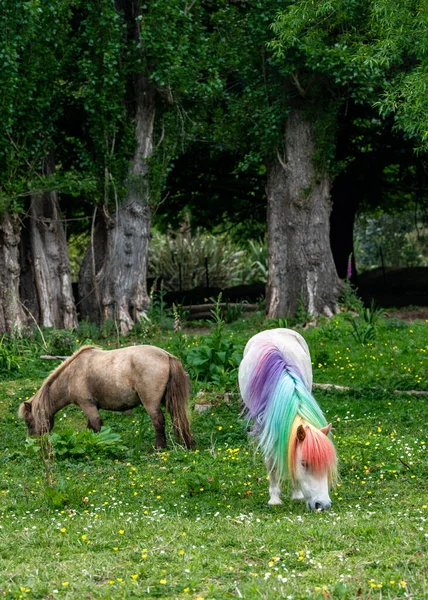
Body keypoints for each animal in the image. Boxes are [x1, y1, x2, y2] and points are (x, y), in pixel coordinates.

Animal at [18, 344, 195, 448]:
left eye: (29, 421)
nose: (32, 441)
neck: (71, 375)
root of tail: (166, 355)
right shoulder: (90, 407)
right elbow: (90, 428)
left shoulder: (87, 405)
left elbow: (97, 426)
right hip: (169, 401)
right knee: (178, 419)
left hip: (150, 403)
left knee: (158, 421)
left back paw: (160, 448)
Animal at [239, 328, 336, 510]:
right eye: (304, 463)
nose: (323, 505)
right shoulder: (266, 429)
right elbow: (271, 460)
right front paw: (274, 498)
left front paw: (296, 494)